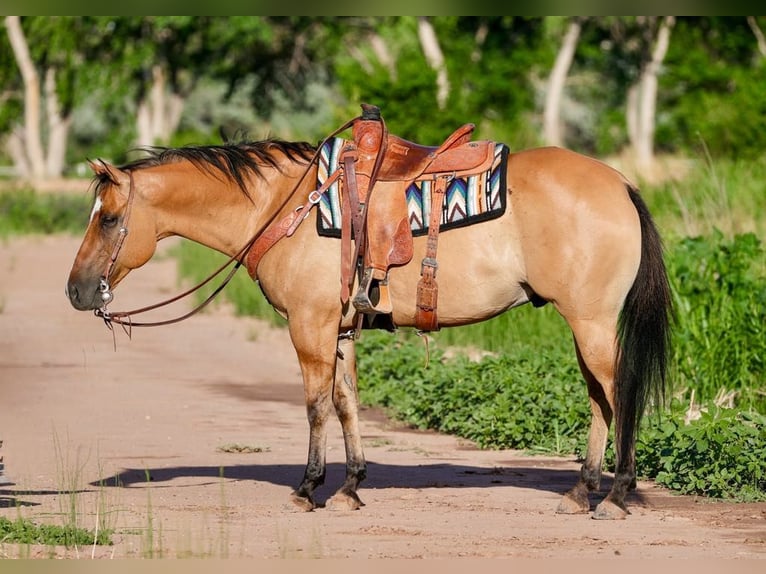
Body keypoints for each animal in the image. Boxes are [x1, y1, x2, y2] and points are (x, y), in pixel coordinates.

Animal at [66, 127, 672, 520]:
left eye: (111, 219)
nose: (76, 290)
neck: (287, 207)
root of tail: (621, 185)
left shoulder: (309, 326)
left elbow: (315, 404)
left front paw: (308, 488)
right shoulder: (339, 330)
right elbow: (347, 401)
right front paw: (352, 486)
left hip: (591, 323)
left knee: (618, 394)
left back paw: (615, 496)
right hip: (585, 327)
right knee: (599, 399)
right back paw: (581, 492)